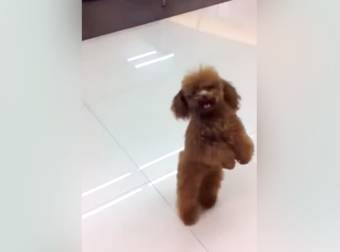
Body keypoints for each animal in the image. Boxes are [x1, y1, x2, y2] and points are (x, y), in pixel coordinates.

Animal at [171, 66, 254, 225]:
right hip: (189, 178)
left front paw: (245, 158)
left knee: (208, 190)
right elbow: (221, 151)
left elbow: (242, 143)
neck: (213, 118)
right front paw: (230, 163)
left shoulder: (235, 130)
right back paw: (189, 217)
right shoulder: (204, 146)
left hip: (213, 176)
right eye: (193, 92)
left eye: (210, 87)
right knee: (186, 198)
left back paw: (208, 202)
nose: (203, 96)